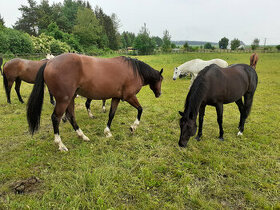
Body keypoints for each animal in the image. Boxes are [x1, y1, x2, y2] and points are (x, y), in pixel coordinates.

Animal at [27, 52, 163, 151]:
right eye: (161, 79)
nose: (159, 94)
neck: (135, 71)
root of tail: (49, 62)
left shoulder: (116, 98)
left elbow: (111, 114)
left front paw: (107, 132)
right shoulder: (129, 96)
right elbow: (140, 110)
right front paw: (133, 127)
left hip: (70, 98)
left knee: (71, 116)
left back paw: (82, 136)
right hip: (63, 100)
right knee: (56, 118)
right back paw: (60, 145)